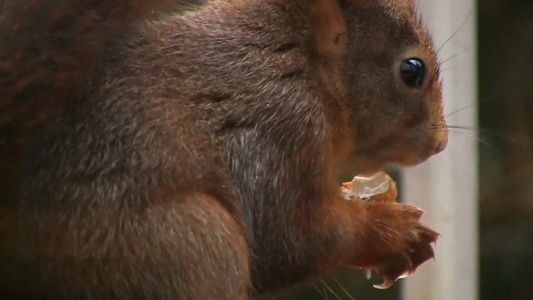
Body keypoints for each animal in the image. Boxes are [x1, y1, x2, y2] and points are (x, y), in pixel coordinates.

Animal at [1, 0, 448, 298]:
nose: (441, 143)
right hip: (189, 243)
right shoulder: (278, 127)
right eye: (412, 70)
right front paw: (392, 230)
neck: (300, 62)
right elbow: (292, 240)